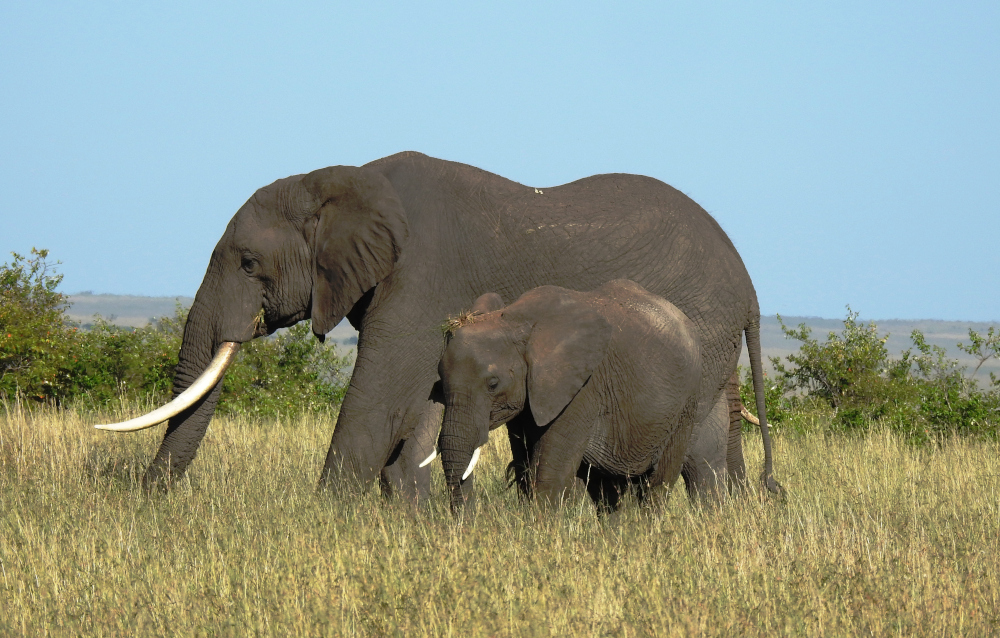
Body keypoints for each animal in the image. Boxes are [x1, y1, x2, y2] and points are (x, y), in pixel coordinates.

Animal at [438, 280, 704, 516]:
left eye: (493, 384)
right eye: (439, 383)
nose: (467, 525)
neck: (516, 321)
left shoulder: (582, 388)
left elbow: (550, 474)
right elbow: (524, 467)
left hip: (685, 407)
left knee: (656, 486)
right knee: (607, 492)